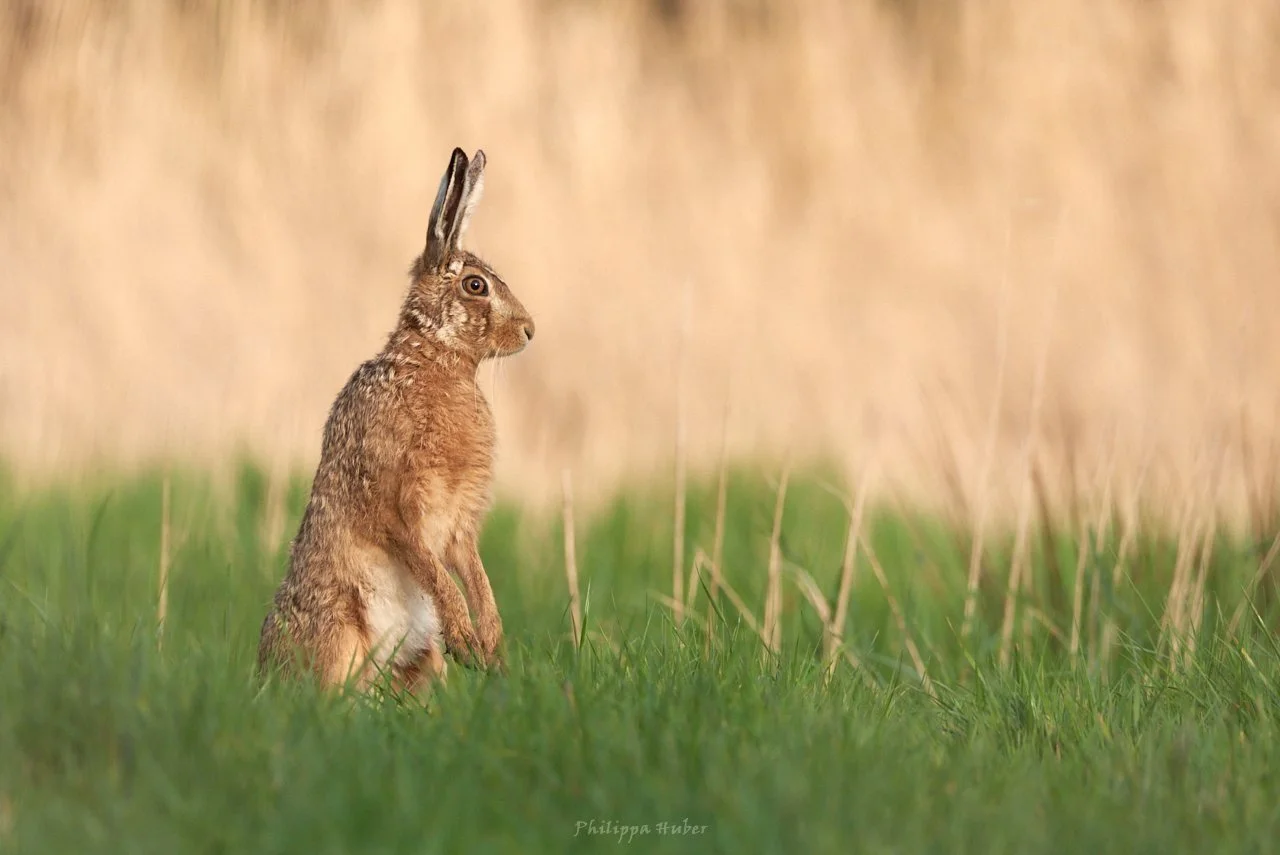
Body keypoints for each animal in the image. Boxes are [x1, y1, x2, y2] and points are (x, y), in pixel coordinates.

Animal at [257, 147, 534, 695]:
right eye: (476, 286)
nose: (529, 329)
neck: (435, 360)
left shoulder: (459, 523)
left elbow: (473, 574)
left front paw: (489, 645)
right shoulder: (398, 504)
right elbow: (436, 573)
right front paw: (468, 638)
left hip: (422, 661)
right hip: (338, 635)